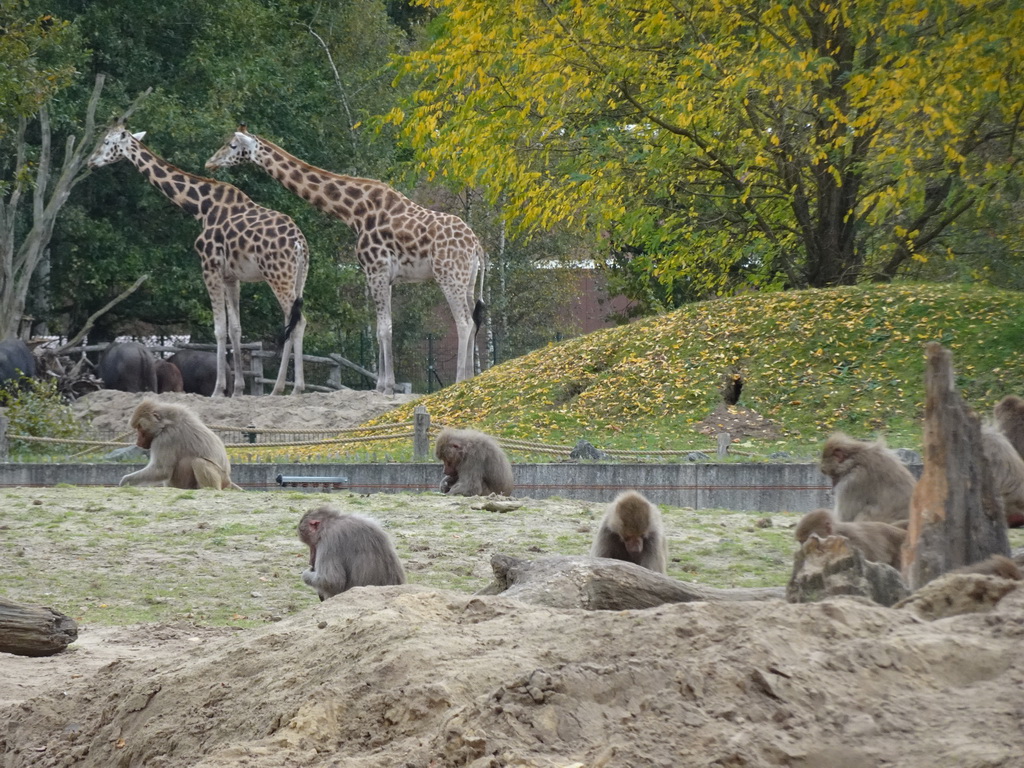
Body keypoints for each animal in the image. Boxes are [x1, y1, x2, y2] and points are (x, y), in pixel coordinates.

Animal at [89, 125, 305, 397]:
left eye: (107, 142)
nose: (91, 161)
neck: (201, 207)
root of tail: (300, 244)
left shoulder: (209, 267)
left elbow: (219, 329)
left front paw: (218, 390)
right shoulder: (231, 276)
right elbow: (235, 329)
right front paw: (237, 390)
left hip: (278, 275)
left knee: (298, 322)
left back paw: (292, 389)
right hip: (298, 277)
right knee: (292, 320)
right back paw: (281, 388)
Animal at [205, 128, 485, 393]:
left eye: (232, 145)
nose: (210, 163)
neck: (353, 212)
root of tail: (477, 246)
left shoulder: (376, 269)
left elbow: (384, 328)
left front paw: (387, 387)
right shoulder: (384, 275)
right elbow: (379, 328)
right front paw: (380, 386)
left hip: (449, 276)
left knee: (464, 322)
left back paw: (459, 381)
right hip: (467, 280)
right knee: (472, 322)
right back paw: (471, 379)